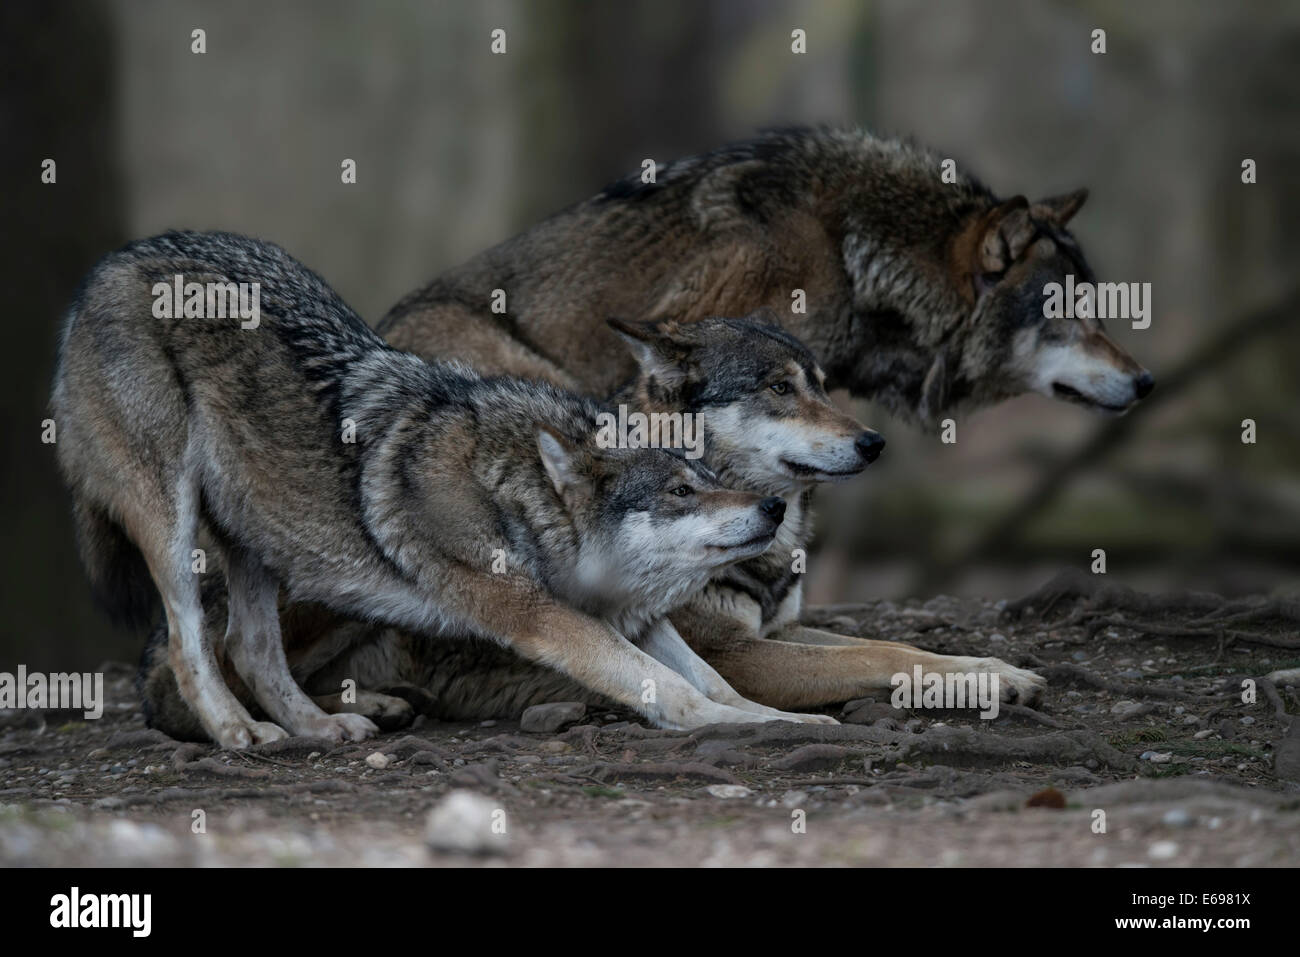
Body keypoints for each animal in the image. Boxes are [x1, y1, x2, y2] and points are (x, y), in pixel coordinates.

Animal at [53, 231, 832, 748]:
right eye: (677, 492)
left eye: (707, 480)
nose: (772, 507)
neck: (510, 495)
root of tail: (115, 261)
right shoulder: (537, 615)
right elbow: (671, 688)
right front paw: (732, 725)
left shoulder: (627, 615)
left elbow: (714, 678)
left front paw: (782, 718)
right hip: (179, 525)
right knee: (191, 650)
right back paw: (238, 732)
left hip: (266, 543)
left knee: (250, 649)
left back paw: (321, 727)